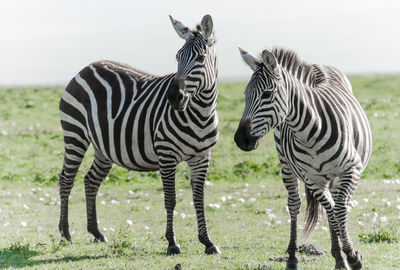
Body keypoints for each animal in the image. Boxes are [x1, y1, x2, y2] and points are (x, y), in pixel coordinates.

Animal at [58, 14, 222, 255]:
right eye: (177, 57)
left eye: (201, 58)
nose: (174, 97)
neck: (201, 113)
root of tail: (87, 67)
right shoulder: (167, 155)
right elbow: (170, 199)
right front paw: (172, 242)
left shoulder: (202, 157)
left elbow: (199, 199)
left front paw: (208, 242)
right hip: (75, 133)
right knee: (66, 179)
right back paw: (65, 234)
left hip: (103, 147)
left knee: (90, 180)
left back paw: (96, 233)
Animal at [234, 47, 372, 268]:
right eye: (245, 95)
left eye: (266, 94)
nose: (240, 139)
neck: (310, 132)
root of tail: (318, 66)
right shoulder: (312, 179)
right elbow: (332, 210)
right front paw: (348, 255)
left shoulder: (352, 168)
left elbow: (340, 209)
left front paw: (351, 255)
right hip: (286, 165)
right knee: (296, 205)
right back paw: (294, 257)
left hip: (335, 176)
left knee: (336, 206)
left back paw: (339, 256)